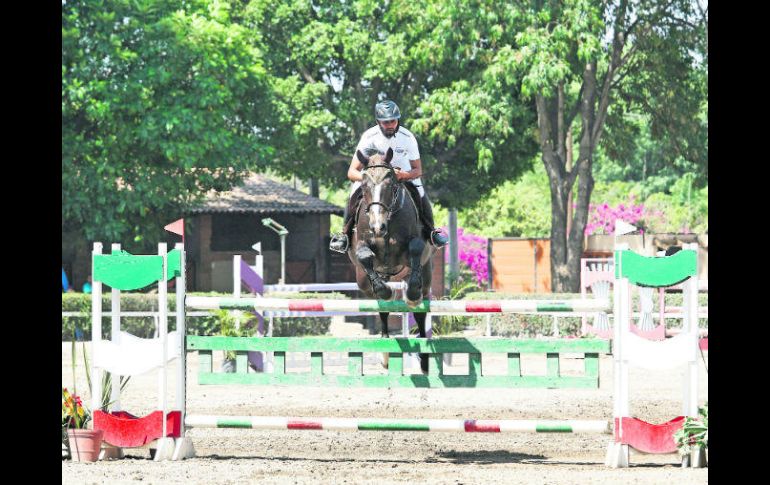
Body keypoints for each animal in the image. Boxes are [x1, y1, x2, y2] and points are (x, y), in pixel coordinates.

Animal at [346, 147, 436, 370]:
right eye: (365, 186)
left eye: (391, 185)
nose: (377, 227)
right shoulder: (363, 247)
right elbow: (365, 256)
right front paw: (386, 291)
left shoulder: (415, 245)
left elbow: (415, 248)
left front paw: (412, 294)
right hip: (363, 281)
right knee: (382, 308)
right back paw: (385, 352)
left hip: (426, 275)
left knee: (420, 313)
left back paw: (423, 359)